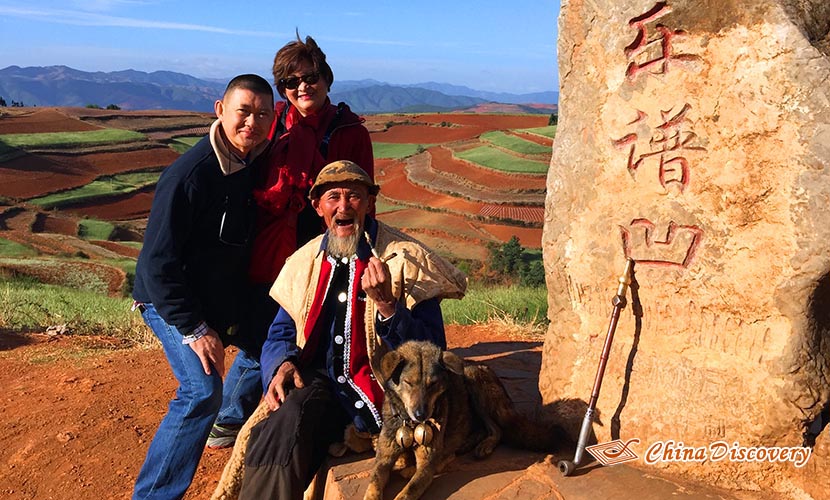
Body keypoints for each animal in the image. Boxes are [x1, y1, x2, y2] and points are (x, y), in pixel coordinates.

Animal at [362, 340, 560, 500]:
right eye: (408, 382)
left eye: (432, 384)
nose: (421, 415)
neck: (409, 424)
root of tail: (479, 365)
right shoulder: (383, 459)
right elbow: (373, 484)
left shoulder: (426, 463)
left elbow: (410, 490)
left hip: (473, 382)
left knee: (496, 430)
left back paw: (482, 447)